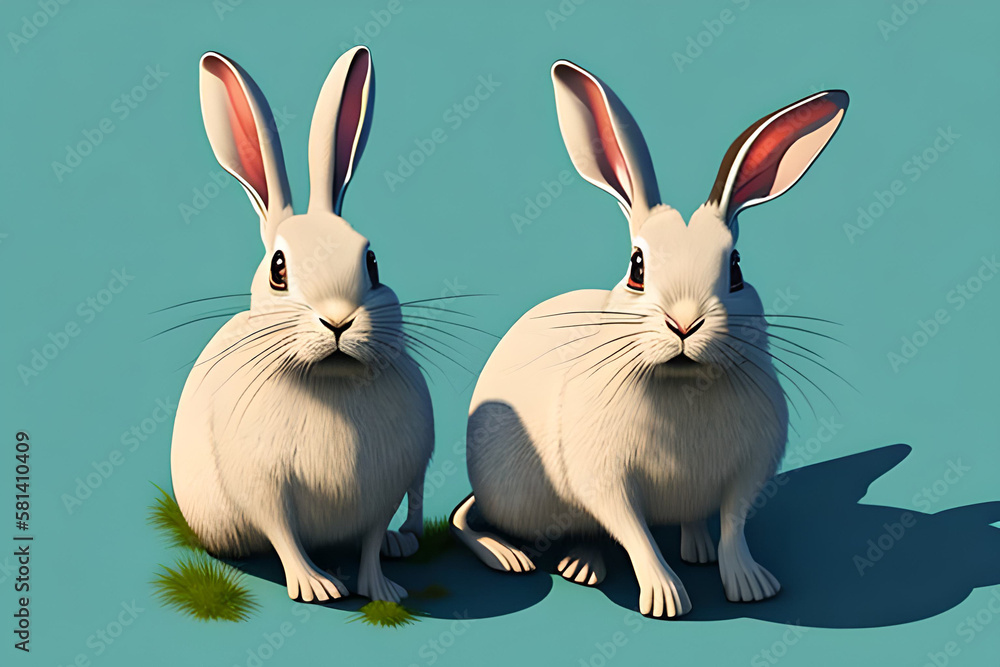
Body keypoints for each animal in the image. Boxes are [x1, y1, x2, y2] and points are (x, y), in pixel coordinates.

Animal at [170, 46, 433, 604]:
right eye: (279, 269)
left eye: (372, 262)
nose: (338, 321)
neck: (328, 383)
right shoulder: (264, 488)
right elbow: (283, 532)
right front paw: (317, 587)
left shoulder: (386, 485)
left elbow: (370, 537)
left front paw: (382, 590)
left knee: (413, 508)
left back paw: (402, 544)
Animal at [450, 58, 848, 618]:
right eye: (637, 267)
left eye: (736, 269)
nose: (684, 325)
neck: (683, 388)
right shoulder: (607, 481)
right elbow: (634, 533)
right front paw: (666, 599)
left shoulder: (746, 475)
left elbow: (734, 526)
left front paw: (751, 585)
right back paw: (548, 561)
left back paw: (692, 547)